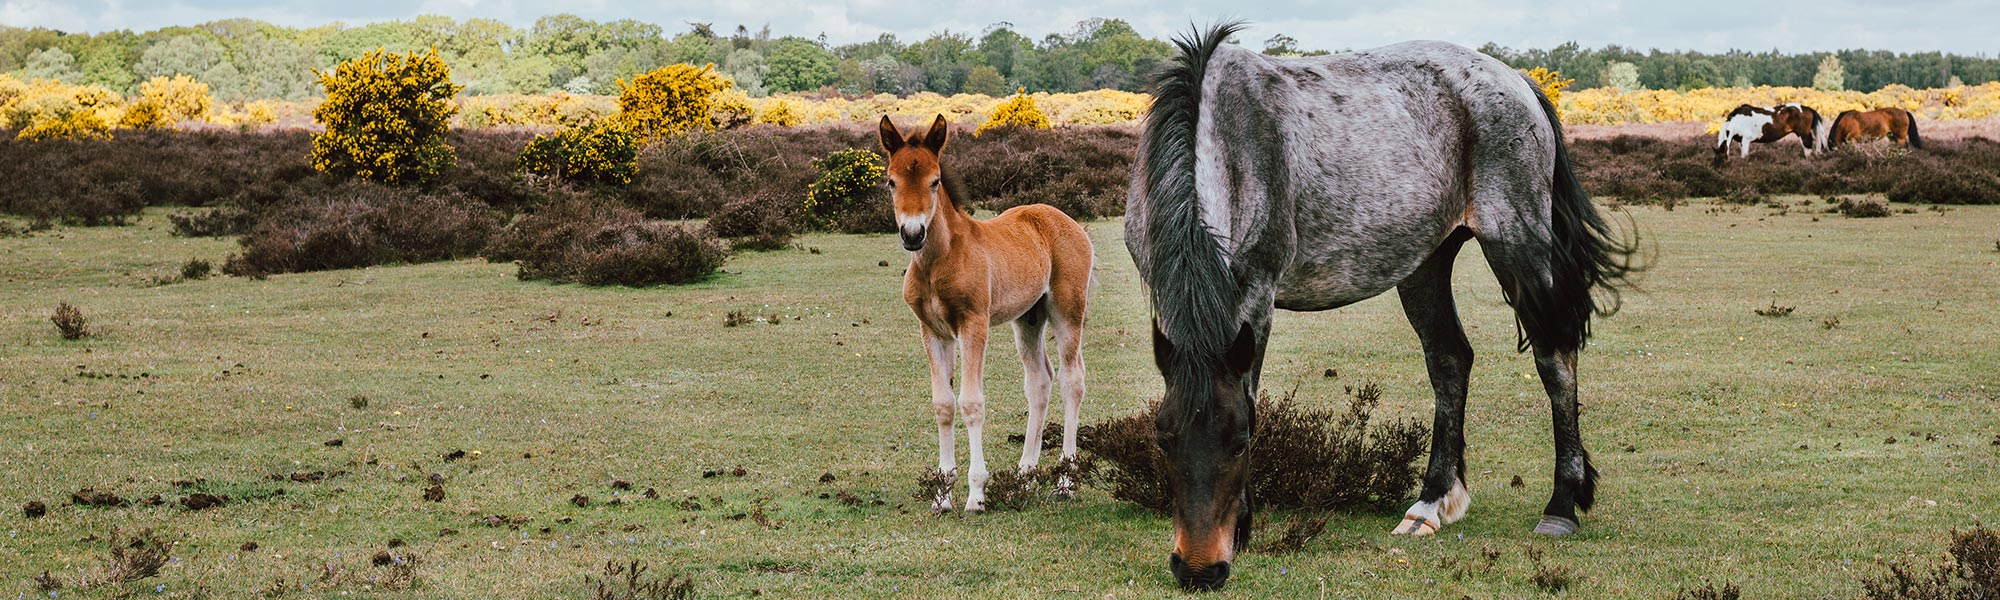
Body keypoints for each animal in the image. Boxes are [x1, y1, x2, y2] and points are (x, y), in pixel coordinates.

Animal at [880, 115, 1096, 512]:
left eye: (935, 181)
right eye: (891, 181)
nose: (913, 233)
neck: (939, 261)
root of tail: (1067, 220)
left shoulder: (973, 325)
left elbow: (971, 403)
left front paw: (976, 494)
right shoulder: (932, 331)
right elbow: (944, 405)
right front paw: (942, 494)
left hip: (1068, 311)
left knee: (1072, 380)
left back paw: (1066, 480)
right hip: (1028, 319)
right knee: (1040, 381)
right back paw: (1024, 478)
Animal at [1128, 23, 1640, 592]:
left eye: (1239, 441)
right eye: (1162, 439)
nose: (1199, 570)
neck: (1227, 139)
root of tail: (1517, 80)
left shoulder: (1257, 295)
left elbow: (1252, 392)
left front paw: (1243, 523)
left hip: (1518, 245)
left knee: (1554, 357)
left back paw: (1561, 504)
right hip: (1426, 263)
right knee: (1450, 360)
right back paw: (1431, 503)